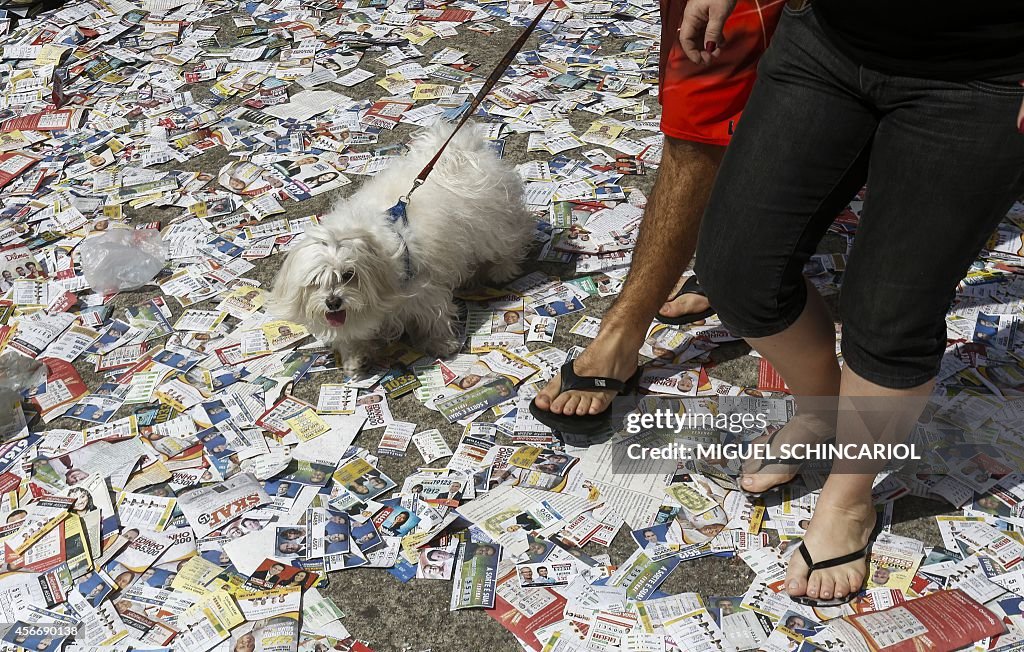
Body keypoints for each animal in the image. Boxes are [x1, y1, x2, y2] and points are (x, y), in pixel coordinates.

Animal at [268, 122, 532, 374]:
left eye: (348, 275)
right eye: (315, 282)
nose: (333, 302)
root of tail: (459, 151)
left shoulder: (423, 288)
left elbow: (434, 316)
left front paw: (442, 343)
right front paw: (355, 358)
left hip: (494, 226)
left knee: (512, 240)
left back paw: (502, 270)